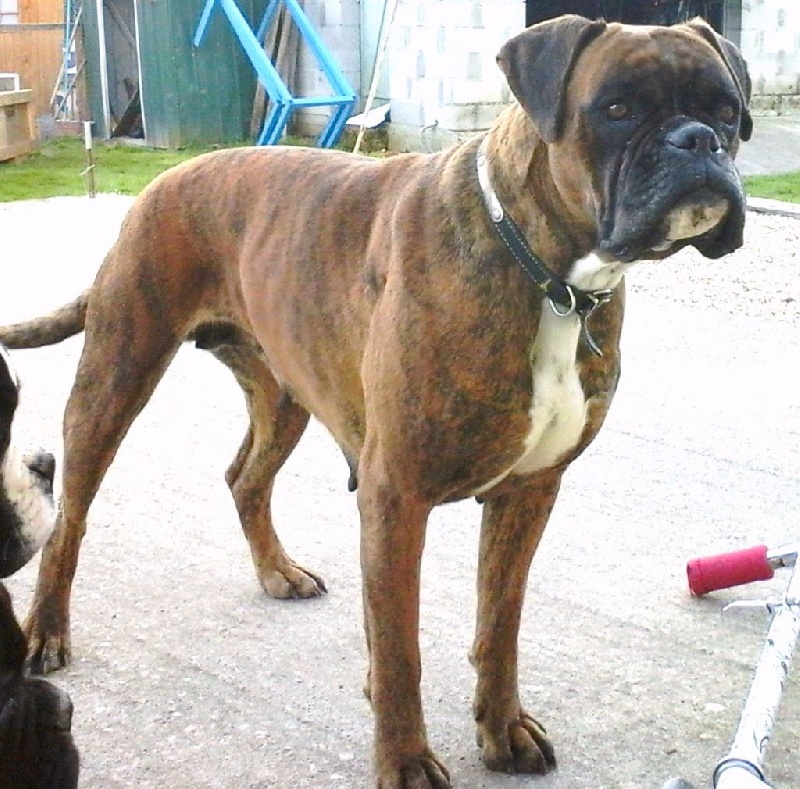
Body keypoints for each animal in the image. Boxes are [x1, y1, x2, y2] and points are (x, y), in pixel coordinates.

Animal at [0, 15, 750, 787]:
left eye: (728, 112)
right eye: (618, 108)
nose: (699, 141)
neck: (549, 275)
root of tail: (167, 176)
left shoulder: (530, 491)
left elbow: (500, 620)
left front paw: (502, 728)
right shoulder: (397, 498)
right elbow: (399, 647)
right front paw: (406, 758)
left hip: (284, 395)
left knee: (245, 478)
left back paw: (277, 571)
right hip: (117, 374)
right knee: (71, 520)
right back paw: (48, 631)